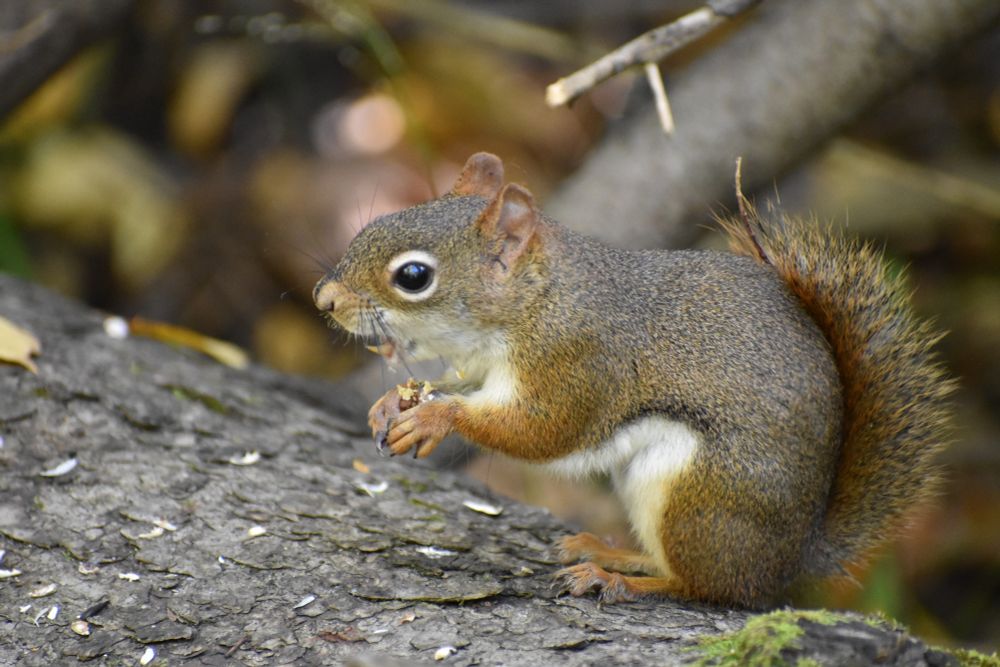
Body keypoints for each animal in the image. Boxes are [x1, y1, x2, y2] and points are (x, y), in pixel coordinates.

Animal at [313, 152, 954, 608]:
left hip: (699, 491)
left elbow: (543, 431)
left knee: (710, 588)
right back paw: (608, 552)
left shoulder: (579, 360)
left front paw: (433, 417)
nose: (325, 299)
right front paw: (388, 406)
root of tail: (793, 557)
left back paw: (618, 581)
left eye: (413, 276)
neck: (534, 302)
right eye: (377, 222)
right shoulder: (481, 367)